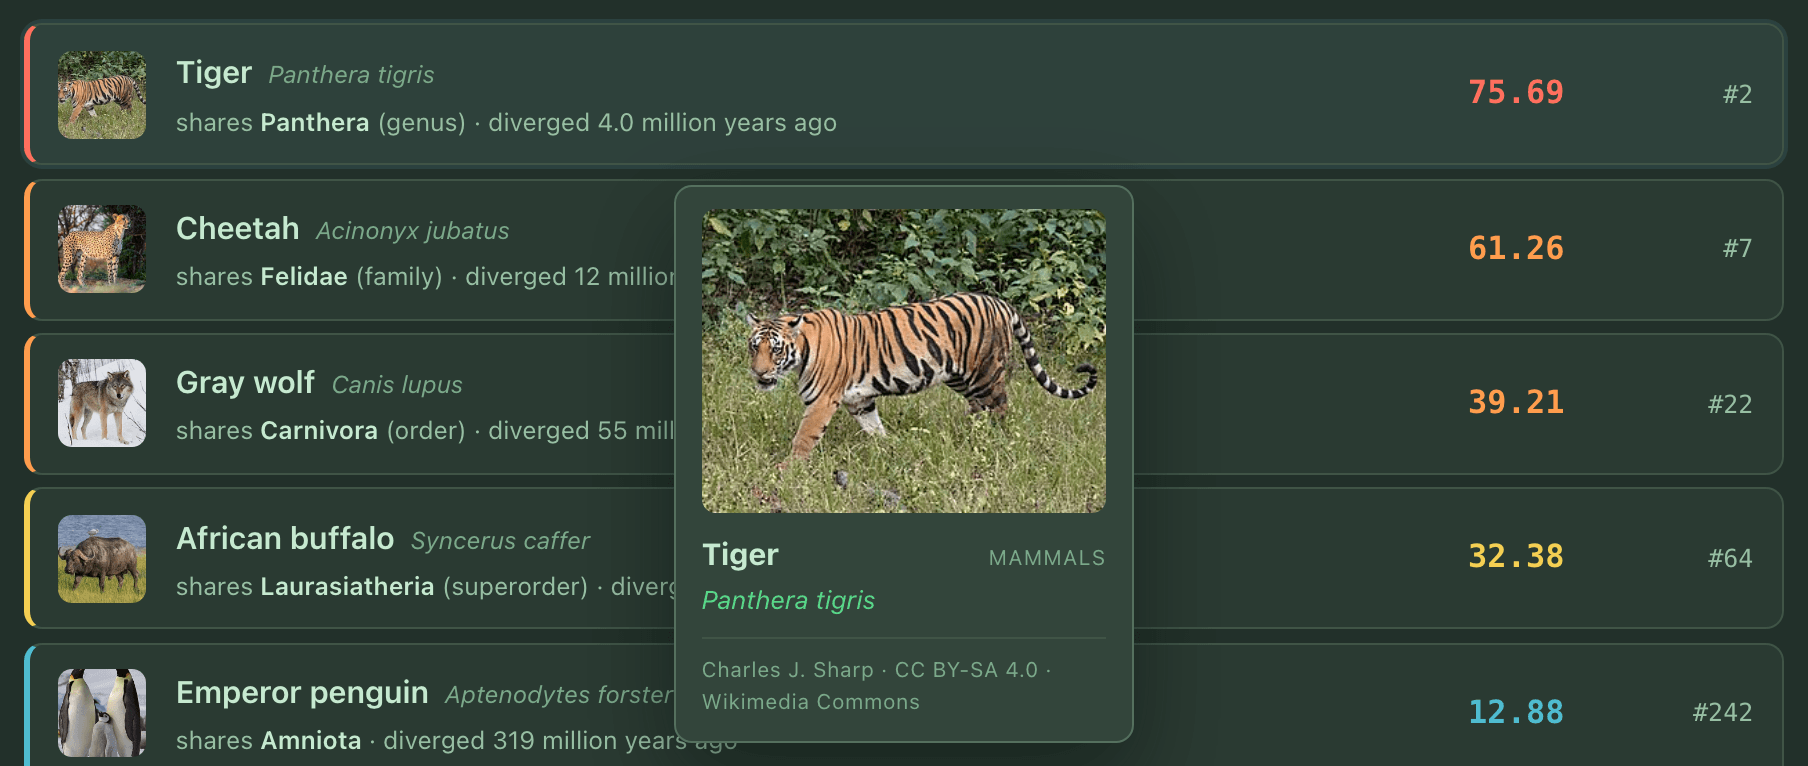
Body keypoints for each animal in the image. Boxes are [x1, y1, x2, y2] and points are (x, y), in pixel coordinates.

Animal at [745, 292, 1099, 467]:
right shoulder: (860, 400)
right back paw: (968, 435)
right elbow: (874, 427)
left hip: (986, 372)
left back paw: (995, 442)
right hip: (959, 376)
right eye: (753, 346)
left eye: (775, 349)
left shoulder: (821, 401)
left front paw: (788, 469)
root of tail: (1000, 302)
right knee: (978, 408)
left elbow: (804, 436)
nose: (759, 373)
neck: (802, 351)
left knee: (999, 407)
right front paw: (888, 448)